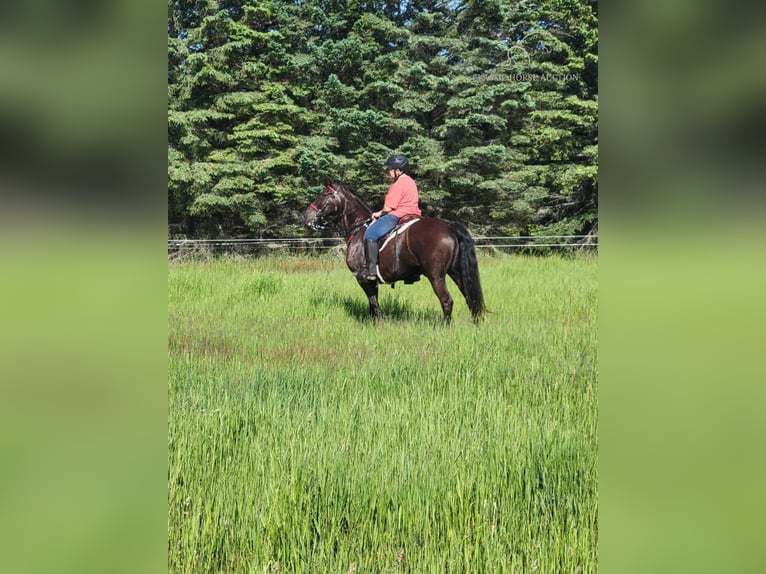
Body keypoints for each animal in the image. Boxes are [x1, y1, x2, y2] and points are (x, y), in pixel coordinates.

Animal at [302, 180, 486, 324]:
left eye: (324, 194)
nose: (306, 217)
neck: (359, 228)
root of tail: (448, 226)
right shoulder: (372, 281)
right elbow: (372, 304)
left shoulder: (362, 278)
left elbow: (374, 303)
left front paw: (379, 324)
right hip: (456, 272)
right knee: (470, 298)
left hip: (436, 276)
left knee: (447, 301)